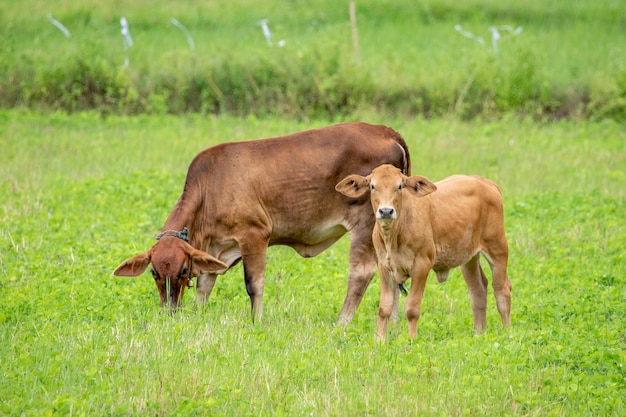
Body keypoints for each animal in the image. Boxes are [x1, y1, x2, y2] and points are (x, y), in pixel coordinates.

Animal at [112, 120, 410, 322]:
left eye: (183, 271)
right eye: (154, 272)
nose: (170, 311)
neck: (209, 189)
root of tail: (386, 130)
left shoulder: (253, 236)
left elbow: (253, 285)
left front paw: (256, 322)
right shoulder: (215, 250)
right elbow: (205, 286)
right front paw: (198, 314)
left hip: (366, 222)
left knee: (361, 273)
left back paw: (342, 323)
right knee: (390, 272)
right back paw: (393, 324)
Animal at [334, 164, 510, 340]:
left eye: (399, 186)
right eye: (372, 186)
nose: (386, 211)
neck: (394, 235)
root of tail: (484, 182)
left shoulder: (422, 264)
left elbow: (412, 308)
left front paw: (412, 339)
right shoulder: (384, 266)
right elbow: (384, 307)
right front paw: (380, 340)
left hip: (497, 248)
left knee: (502, 290)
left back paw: (507, 333)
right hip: (469, 257)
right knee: (478, 289)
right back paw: (479, 334)